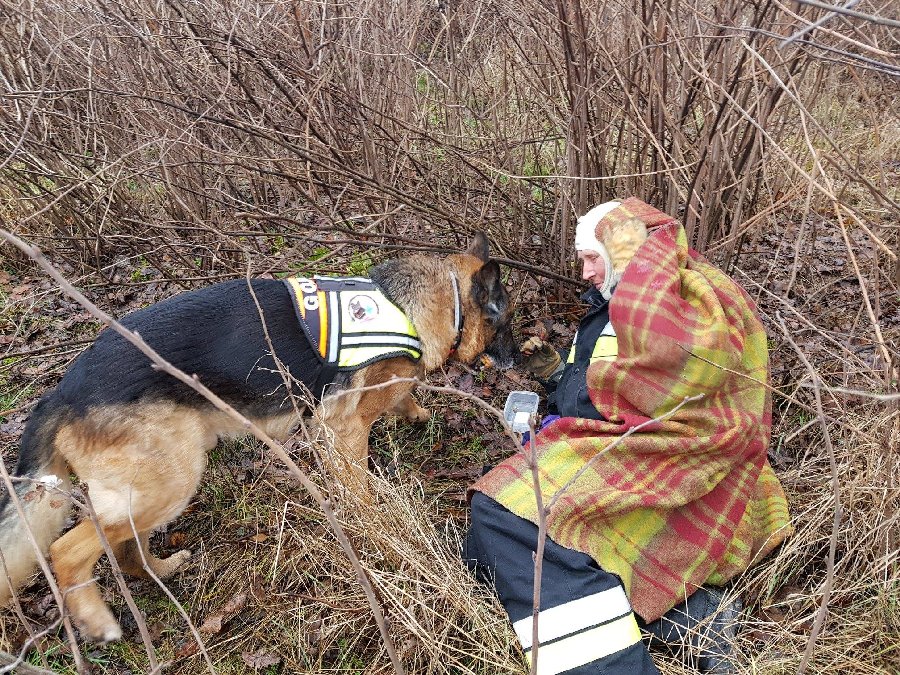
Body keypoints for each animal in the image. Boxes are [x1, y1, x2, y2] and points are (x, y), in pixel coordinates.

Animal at [0, 232, 516, 642]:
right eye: (505, 321)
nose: (518, 361)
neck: (419, 301)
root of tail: (61, 393)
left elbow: (401, 394)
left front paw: (415, 413)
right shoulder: (342, 427)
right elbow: (360, 485)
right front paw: (376, 525)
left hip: (156, 484)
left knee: (127, 548)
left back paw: (163, 569)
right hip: (169, 481)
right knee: (67, 552)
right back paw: (96, 618)